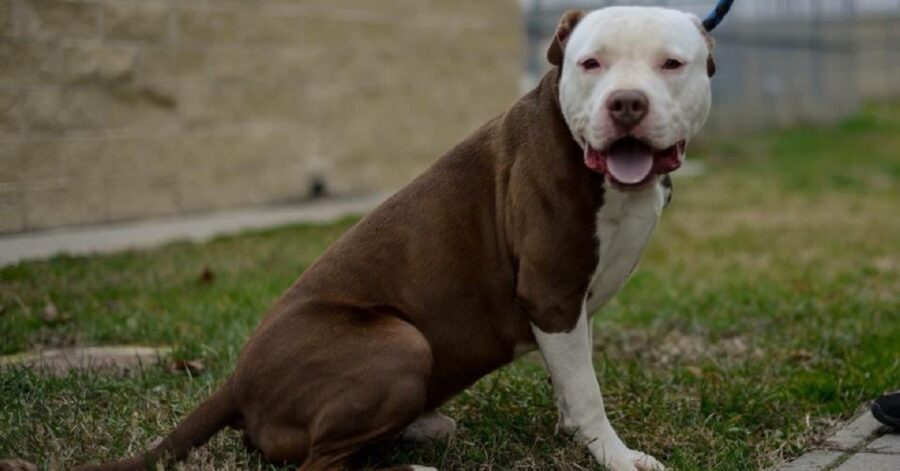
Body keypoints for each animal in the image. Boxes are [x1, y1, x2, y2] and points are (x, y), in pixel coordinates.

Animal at [81, 6, 716, 471]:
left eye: (671, 63)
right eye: (591, 63)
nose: (626, 103)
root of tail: (235, 382)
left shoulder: (568, 309)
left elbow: (572, 380)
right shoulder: (552, 292)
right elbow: (587, 392)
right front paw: (615, 455)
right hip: (400, 344)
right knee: (317, 465)